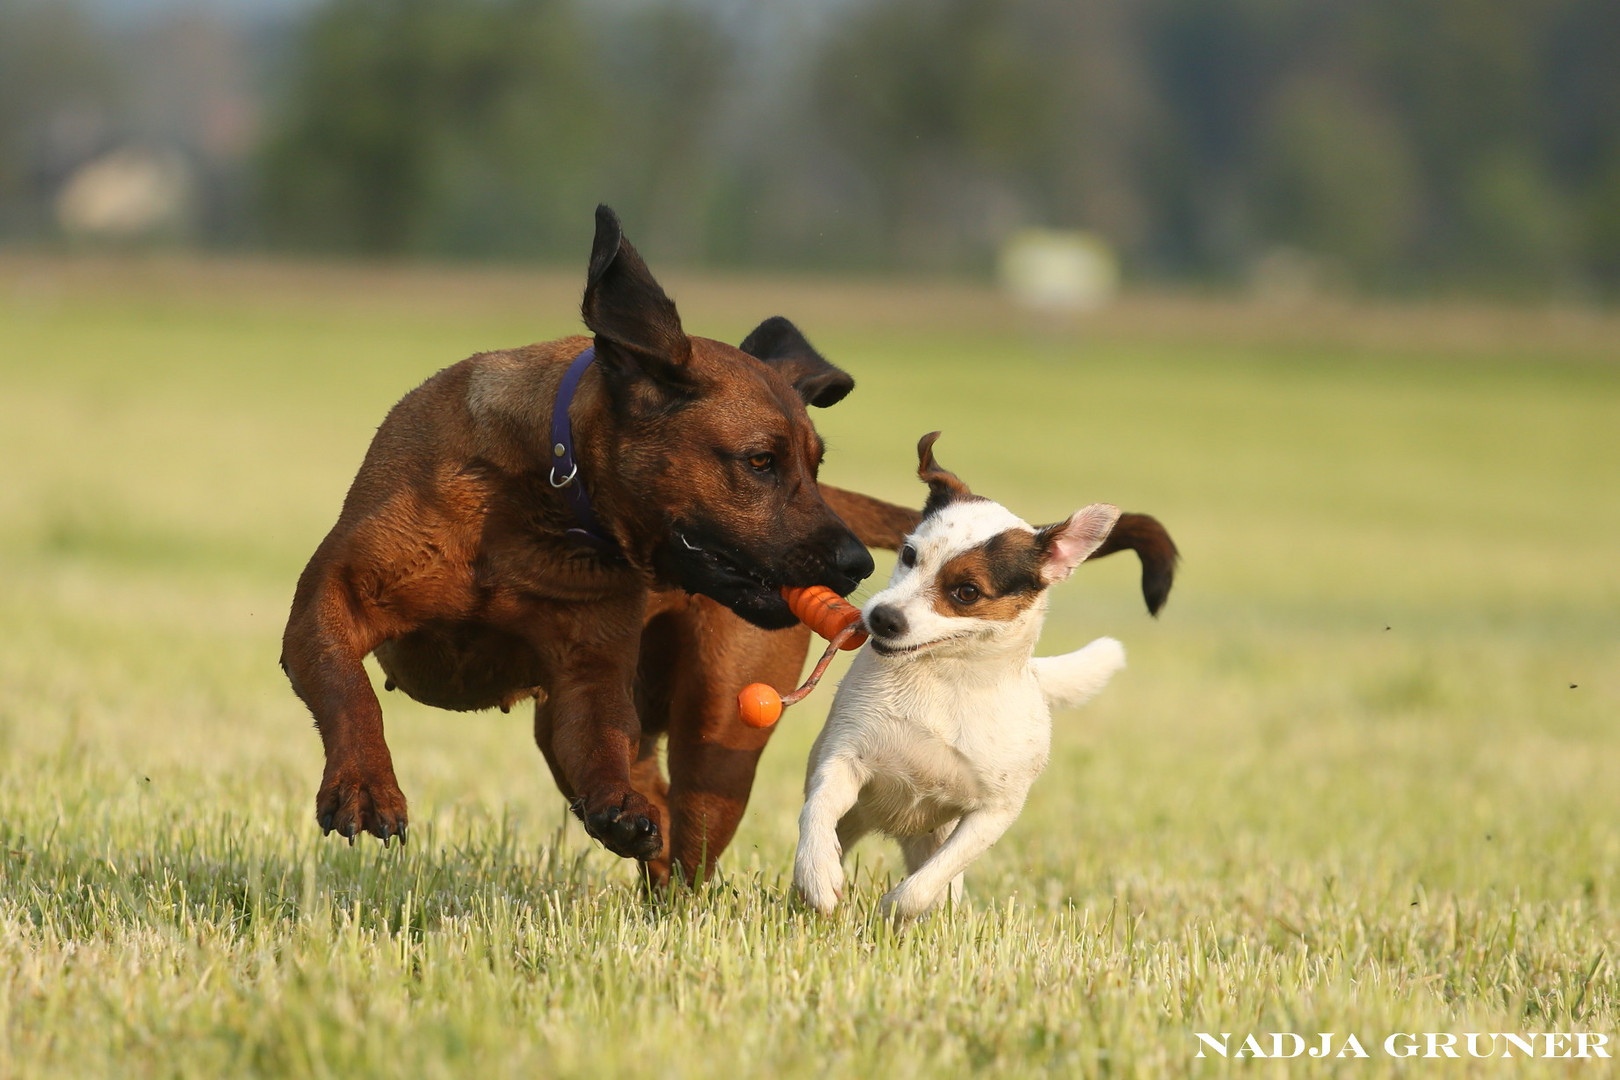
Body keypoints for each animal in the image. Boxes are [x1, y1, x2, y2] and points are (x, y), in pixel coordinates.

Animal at [793, 430, 1127, 919]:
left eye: (967, 592)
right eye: (908, 554)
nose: (882, 618)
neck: (942, 680)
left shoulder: (992, 814)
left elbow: (925, 884)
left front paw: (894, 909)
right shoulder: (844, 760)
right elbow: (816, 812)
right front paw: (817, 874)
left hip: (930, 833)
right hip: (859, 814)